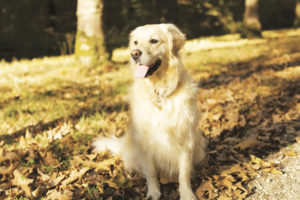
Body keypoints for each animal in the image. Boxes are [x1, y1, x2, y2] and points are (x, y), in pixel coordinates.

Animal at [94, 23, 206, 200]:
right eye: (135, 42)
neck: (159, 91)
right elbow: (151, 172)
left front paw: (187, 193)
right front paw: (153, 192)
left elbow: (184, 172)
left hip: (200, 144)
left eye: (154, 40)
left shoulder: (186, 139)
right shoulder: (144, 142)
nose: (134, 54)